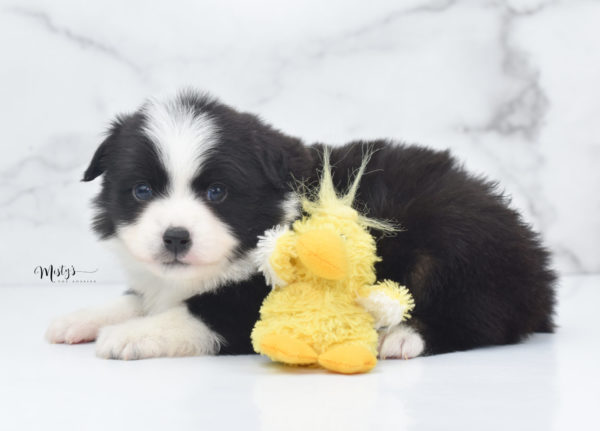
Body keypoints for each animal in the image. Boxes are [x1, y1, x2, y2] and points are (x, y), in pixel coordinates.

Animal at [44, 90, 556, 362]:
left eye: (217, 193)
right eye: (141, 191)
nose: (175, 238)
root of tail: (538, 267)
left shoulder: (254, 303)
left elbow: (193, 315)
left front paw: (126, 337)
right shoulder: (161, 280)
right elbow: (140, 299)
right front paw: (80, 319)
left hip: (457, 245)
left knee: (479, 318)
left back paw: (401, 336)